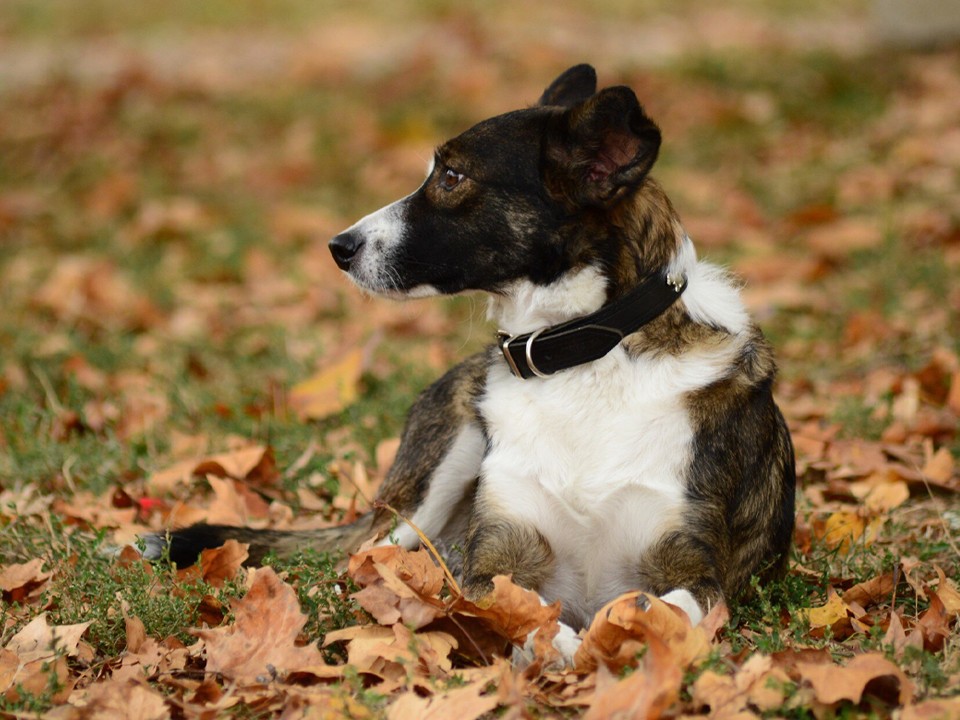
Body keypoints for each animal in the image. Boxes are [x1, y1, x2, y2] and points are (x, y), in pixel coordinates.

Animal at [148, 62, 796, 656]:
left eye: (453, 175)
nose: (339, 247)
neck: (588, 355)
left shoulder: (694, 570)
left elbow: (656, 606)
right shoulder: (497, 560)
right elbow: (527, 612)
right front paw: (558, 647)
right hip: (432, 476)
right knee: (364, 558)